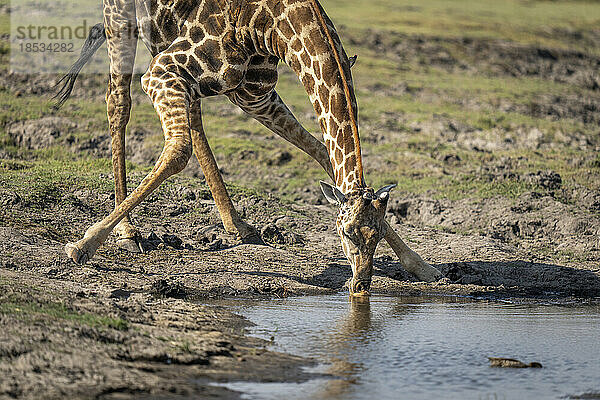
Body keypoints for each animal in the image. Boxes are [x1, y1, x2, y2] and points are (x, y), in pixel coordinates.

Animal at [58, 0, 442, 296]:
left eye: (378, 234)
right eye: (346, 232)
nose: (361, 285)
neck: (273, 25)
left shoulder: (254, 95)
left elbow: (322, 153)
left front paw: (423, 267)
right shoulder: (162, 71)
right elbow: (177, 150)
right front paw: (82, 246)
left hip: (165, 41)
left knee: (193, 118)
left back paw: (239, 225)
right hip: (123, 20)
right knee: (118, 104)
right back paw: (127, 233)